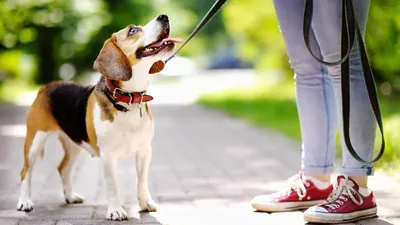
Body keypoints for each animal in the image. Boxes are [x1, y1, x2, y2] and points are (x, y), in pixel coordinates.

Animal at [16, 13, 181, 220]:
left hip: (74, 145)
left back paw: (70, 196)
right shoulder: (108, 156)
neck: (128, 100)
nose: (164, 16)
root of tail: (47, 86)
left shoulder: (144, 151)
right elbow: (112, 185)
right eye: (133, 30)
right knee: (25, 171)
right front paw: (116, 211)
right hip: (34, 141)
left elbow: (142, 181)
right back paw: (24, 202)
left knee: (63, 168)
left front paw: (145, 203)